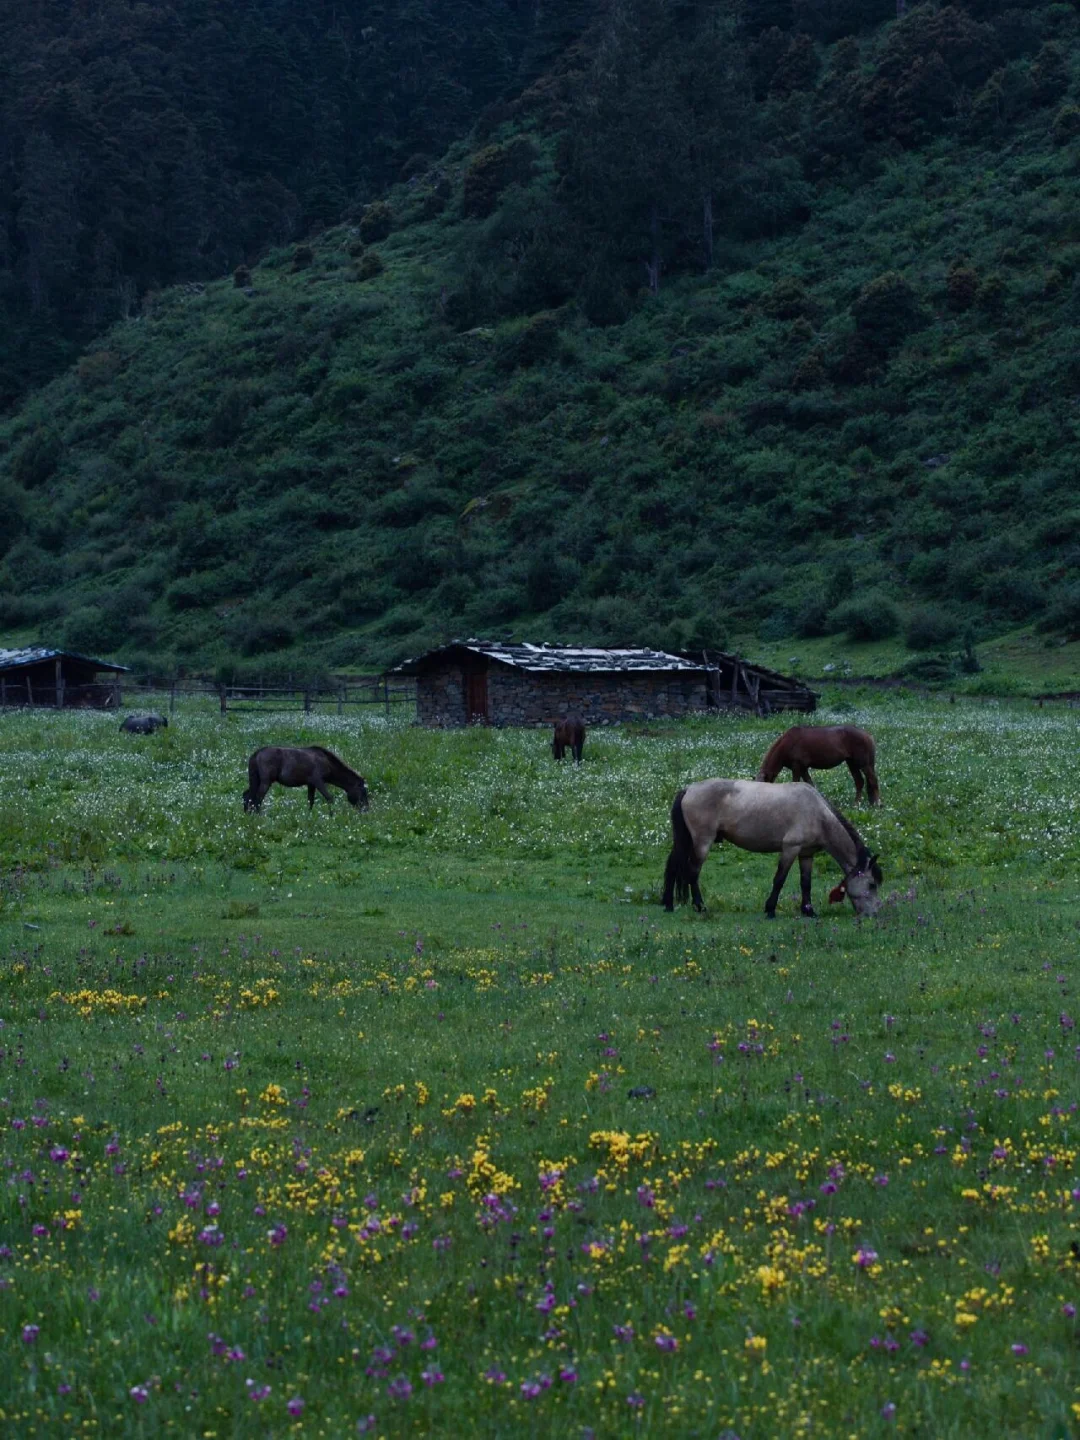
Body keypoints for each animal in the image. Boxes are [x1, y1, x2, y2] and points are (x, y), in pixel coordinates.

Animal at [243, 748, 371, 817]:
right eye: (363, 792)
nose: (366, 809)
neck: (328, 763)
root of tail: (256, 754)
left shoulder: (311, 784)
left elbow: (310, 801)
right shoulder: (318, 781)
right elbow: (329, 798)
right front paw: (332, 816)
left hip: (255, 780)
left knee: (247, 796)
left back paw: (247, 814)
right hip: (266, 782)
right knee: (257, 799)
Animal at [665, 777, 881, 921]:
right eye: (872, 884)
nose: (873, 915)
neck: (817, 813)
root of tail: (689, 789)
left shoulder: (806, 854)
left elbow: (806, 883)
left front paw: (808, 910)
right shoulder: (790, 849)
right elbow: (779, 880)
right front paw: (770, 909)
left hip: (687, 842)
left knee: (673, 867)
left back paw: (668, 905)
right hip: (702, 842)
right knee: (693, 873)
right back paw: (700, 906)